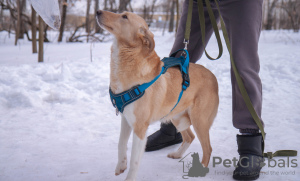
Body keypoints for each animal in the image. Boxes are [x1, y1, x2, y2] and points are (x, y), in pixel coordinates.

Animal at [97, 10, 219, 181]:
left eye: (124, 17)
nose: (98, 11)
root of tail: (213, 76)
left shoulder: (140, 127)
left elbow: (135, 160)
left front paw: (129, 177)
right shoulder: (126, 119)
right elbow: (121, 143)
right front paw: (120, 165)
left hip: (199, 120)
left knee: (207, 148)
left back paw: (200, 169)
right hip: (177, 117)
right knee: (189, 136)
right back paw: (177, 154)